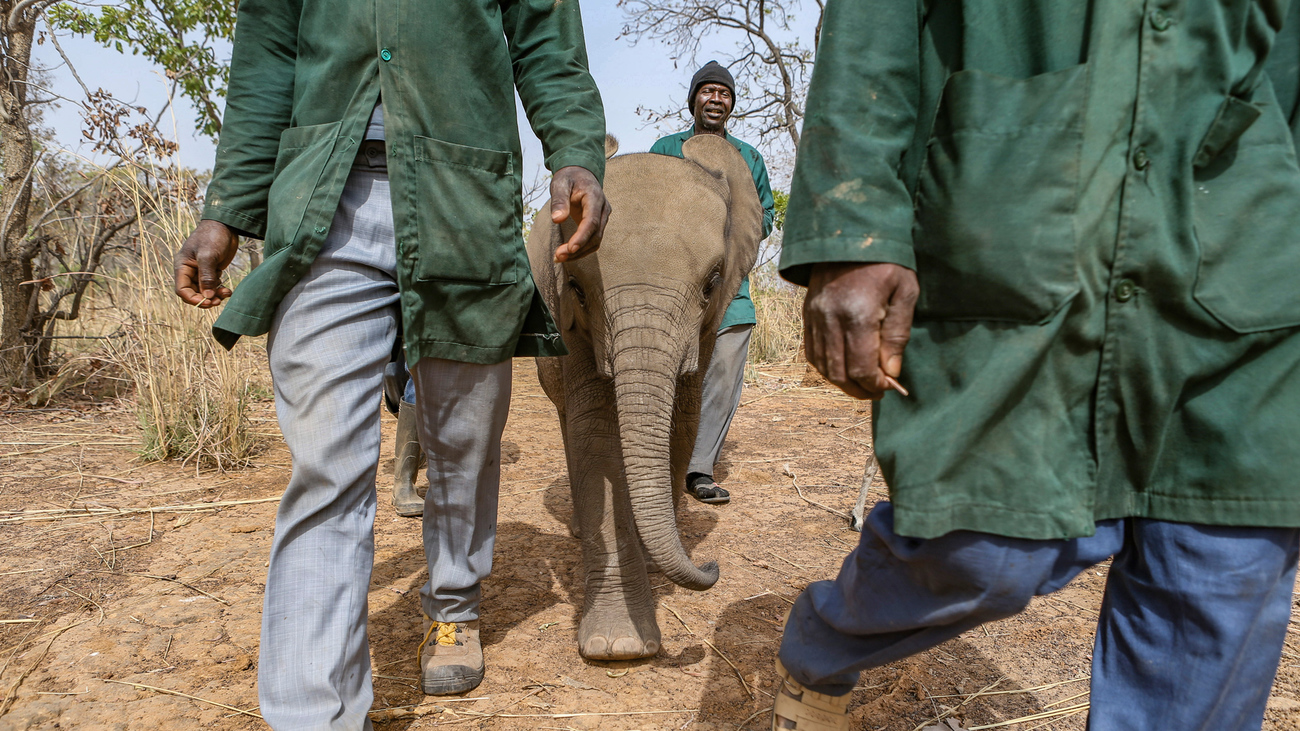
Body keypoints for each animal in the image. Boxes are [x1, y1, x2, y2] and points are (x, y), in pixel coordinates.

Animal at [527, 133, 764, 658]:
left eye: (712, 282)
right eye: (576, 287)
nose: (713, 568)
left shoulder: (706, 326)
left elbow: (684, 417)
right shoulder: (571, 322)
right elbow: (596, 432)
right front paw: (619, 648)